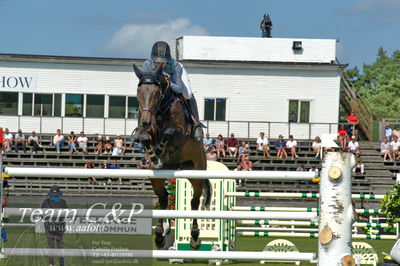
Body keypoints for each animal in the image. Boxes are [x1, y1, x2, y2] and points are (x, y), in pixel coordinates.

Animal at [132, 64, 212, 249]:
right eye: (139, 92)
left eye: (157, 93)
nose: (146, 121)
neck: (161, 110)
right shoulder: (146, 131)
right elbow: (144, 137)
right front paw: (154, 156)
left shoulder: (180, 134)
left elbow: (170, 131)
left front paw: (160, 149)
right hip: (157, 178)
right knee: (163, 199)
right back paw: (160, 235)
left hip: (196, 171)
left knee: (194, 201)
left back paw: (195, 237)